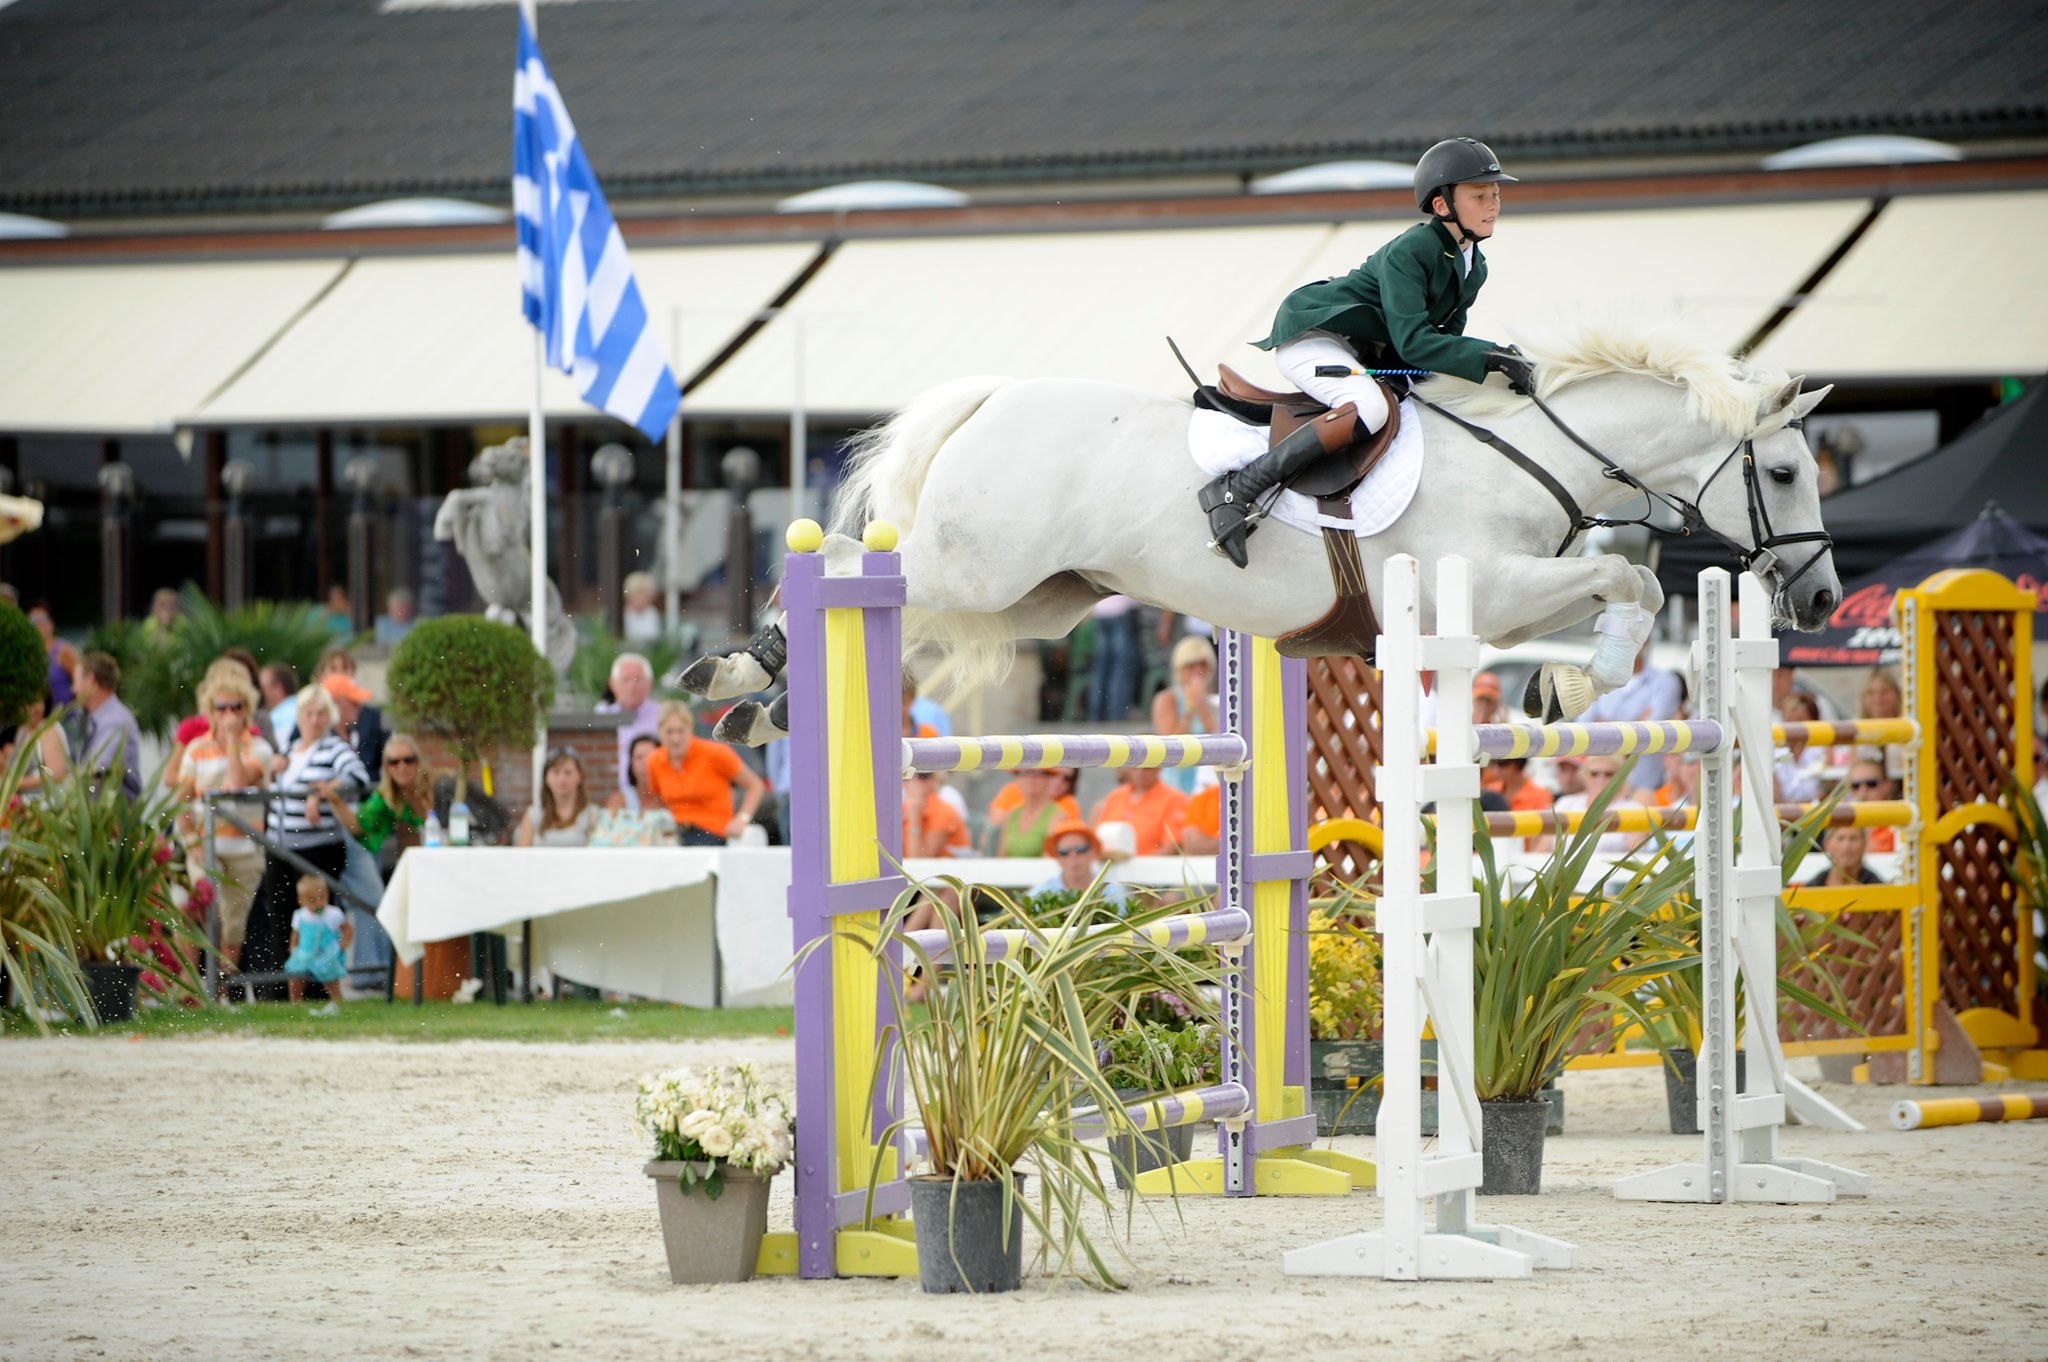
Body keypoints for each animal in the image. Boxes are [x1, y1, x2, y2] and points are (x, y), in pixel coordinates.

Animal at [684, 323, 1843, 737]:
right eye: (1786, 472)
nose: (1825, 598)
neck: (1534, 455)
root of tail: (997, 395)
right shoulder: (1483, 583)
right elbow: (1632, 586)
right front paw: (1572, 685)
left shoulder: (1503, 606)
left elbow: (1627, 594)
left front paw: (1558, 689)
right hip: (972, 569)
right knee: (845, 564)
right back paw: (743, 675)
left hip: (1037, 600)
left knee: (903, 610)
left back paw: (768, 702)